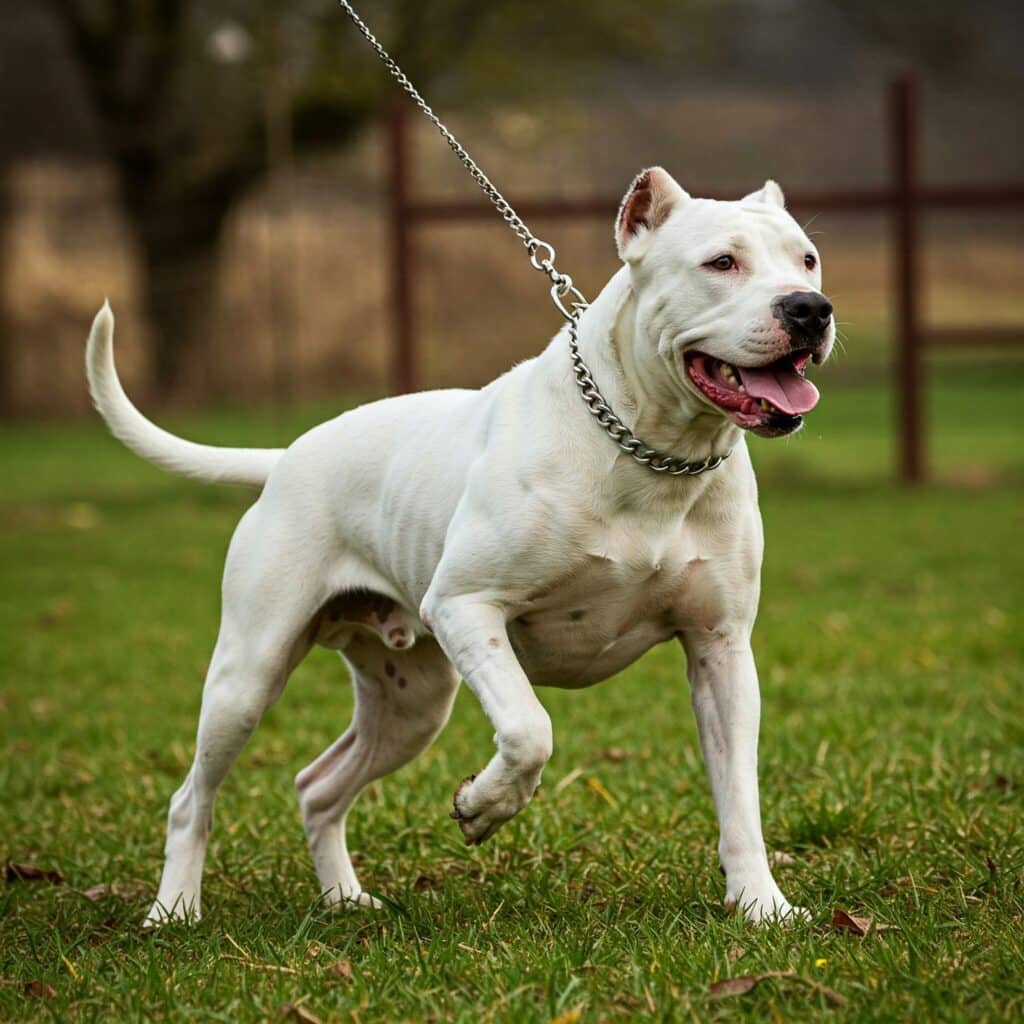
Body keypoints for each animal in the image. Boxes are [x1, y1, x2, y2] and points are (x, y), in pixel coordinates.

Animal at [88, 163, 831, 925]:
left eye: (806, 259)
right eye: (722, 262)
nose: (810, 308)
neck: (653, 455)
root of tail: (288, 456)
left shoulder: (720, 649)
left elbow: (739, 795)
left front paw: (762, 906)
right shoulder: (467, 606)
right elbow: (530, 729)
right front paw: (483, 805)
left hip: (411, 701)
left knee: (317, 785)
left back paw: (345, 899)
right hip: (249, 674)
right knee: (192, 798)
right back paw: (174, 911)